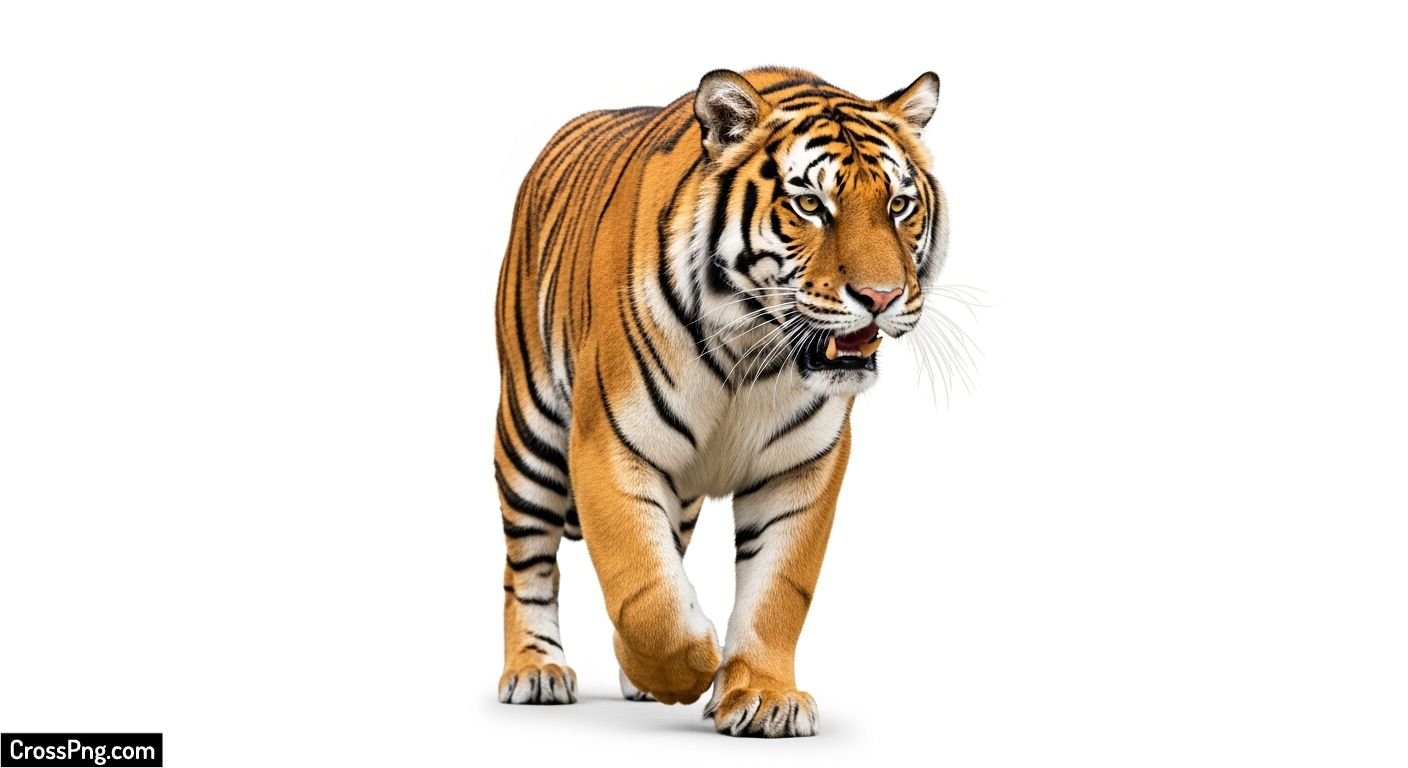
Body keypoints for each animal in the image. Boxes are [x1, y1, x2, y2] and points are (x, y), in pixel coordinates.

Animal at [493, 66, 947, 737]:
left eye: (899, 205)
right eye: (810, 205)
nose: (882, 296)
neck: (753, 352)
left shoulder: (801, 469)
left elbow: (777, 591)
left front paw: (763, 696)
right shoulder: (608, 446)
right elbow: (642, 589)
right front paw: (690, 667)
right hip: (529, 433)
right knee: (528, 564)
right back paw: (535, 671)